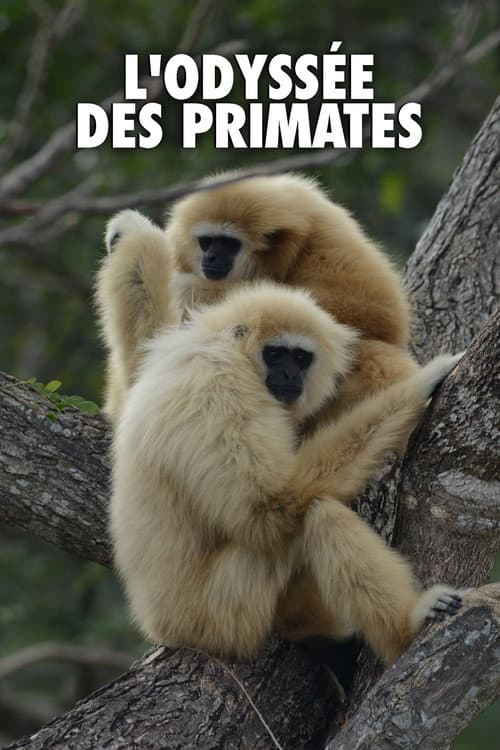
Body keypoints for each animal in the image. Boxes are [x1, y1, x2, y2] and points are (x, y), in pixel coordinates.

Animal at [109, 282, 462, 665]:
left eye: (301, 358)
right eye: (276, 354)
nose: (291, 375)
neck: (226, 348)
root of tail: (159, 624)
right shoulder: (217, 385)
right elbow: (268, 505)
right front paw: (422, 384)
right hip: (218, 610)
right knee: (317, 515)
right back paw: (406, 629)